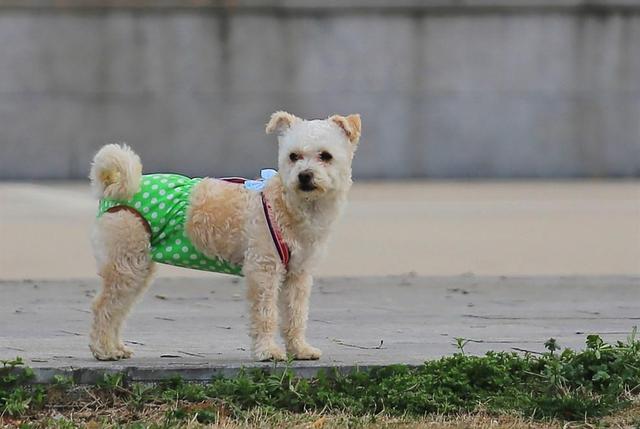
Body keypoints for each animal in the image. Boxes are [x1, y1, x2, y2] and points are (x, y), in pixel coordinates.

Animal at [87, 111, 362, 362]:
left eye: (325, 156)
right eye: (293, 156)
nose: (304, 176)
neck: (287, 205)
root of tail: (111, 187)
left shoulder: (298, 275)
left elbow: (296, 315)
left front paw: (300, 350)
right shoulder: (263, 270)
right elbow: (265, 313)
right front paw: (268, 352)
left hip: (138, 266)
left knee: (118, 309)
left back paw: (115, 348)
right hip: (127, 262)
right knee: (103, 306)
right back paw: (104, 350)